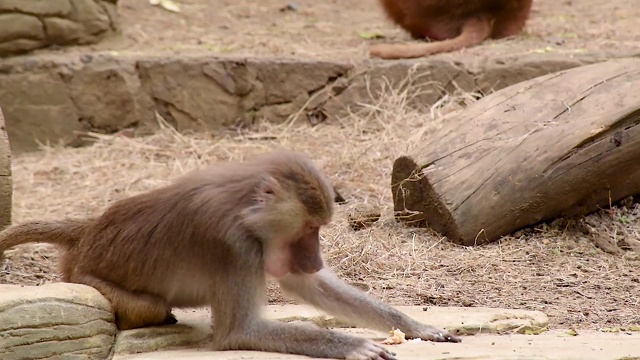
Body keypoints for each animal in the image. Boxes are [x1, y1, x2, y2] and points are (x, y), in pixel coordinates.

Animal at [0, 151, 460, 360]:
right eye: (309, 230)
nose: (314, 257)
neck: (246, 208)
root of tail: (88, 231)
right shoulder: (232, 247)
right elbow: (241, 331)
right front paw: (351, 345)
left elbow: (306, 285)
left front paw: (415, 326)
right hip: (84, 274)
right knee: (147, 305)